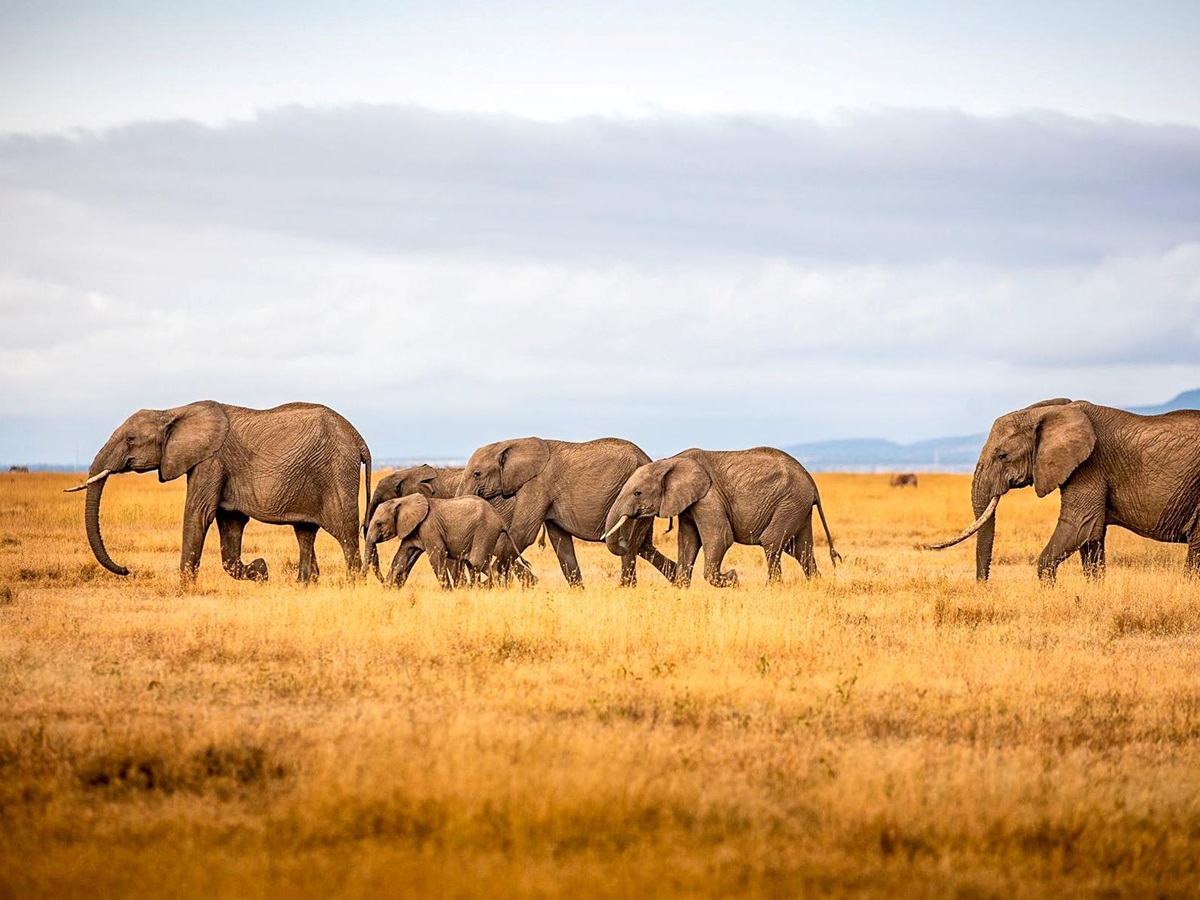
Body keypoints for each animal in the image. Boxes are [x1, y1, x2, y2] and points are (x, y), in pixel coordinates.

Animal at [66, 401, 371, 584]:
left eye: (131, 439)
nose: (126, 570)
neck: (172, 411)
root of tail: (359, 439)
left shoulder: (210, 461)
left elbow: (198, 513)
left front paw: (185, 588)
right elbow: (231, 523)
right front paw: (260, 570)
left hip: (337, 472)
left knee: (345, 533)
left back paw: (353, 584)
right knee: (305, 532)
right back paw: (304, 584)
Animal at [363, 494, 534, 589]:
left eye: (378, 523)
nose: (362, 582)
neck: (403, 500)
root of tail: (500, 520)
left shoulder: (429, 527)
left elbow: (436, 556)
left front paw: (448, 591)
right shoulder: (413, 529)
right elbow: (401, 557)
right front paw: (387, 590)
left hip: (485, 530)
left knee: (477, 561)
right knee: (472, 564)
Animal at [458, 437, 677, 587]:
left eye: (477, 474)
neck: (512, 443)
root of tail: (648, 458)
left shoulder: (537, 485)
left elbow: (522, 534)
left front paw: (490, 584)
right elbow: (561, 542)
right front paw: (578, 591)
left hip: (636, 494)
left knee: (632, 544)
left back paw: (627, 588)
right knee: (643, 546)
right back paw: (678, 580)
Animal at [602, 447, 841, 587]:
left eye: (637, 493)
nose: (624, 542)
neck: (670, 461)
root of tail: (812, 483)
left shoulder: (709, 497)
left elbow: (720, 538)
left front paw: (733, 579)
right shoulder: (689, 504)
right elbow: (688, 542)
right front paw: (681, 588)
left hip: (790, 502)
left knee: (772, 542)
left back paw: (772, 588)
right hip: (798, 507)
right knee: (800, 549)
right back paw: (816, 585)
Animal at [929, 398, 1200, 582]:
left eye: (1002, 455)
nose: (984, 586)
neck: (1050, 412)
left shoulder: (1090, 465)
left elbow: (1077, 527)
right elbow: (1092, 539)